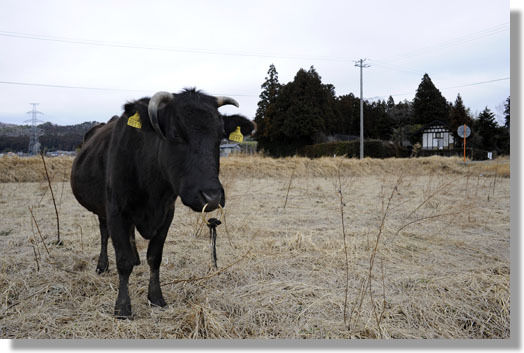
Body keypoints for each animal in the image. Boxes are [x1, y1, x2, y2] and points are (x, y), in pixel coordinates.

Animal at [70, 88, 255, 316]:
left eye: (220, 137)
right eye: (175, 134)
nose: (212, 197)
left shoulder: (167, 213)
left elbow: (154, 257)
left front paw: (156, 297)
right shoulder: (116, 211)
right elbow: (123, 260)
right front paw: (122, 306)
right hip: (102, 210)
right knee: (104, 234)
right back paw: (102, 265)